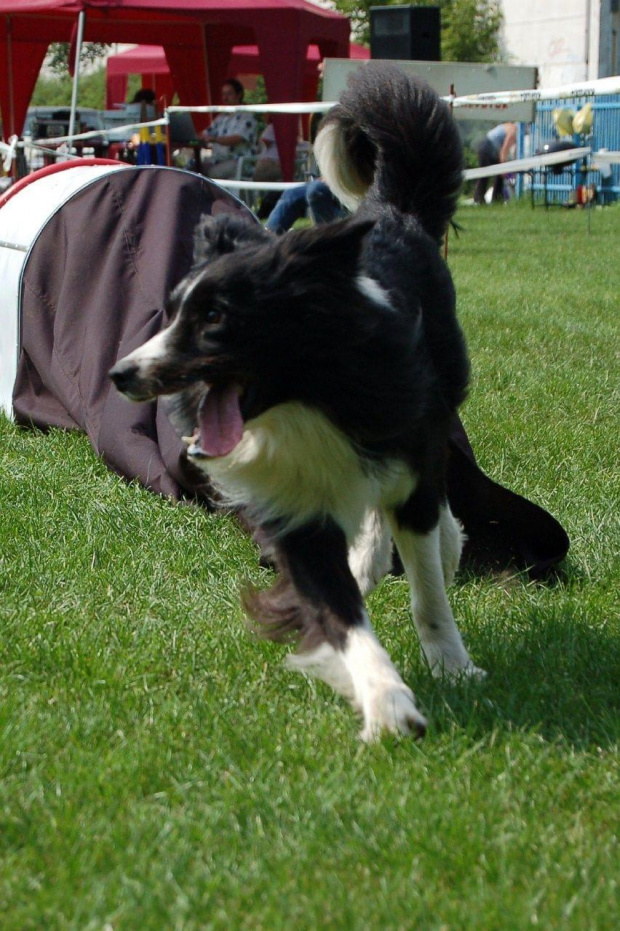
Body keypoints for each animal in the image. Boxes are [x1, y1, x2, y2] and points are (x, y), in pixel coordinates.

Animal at [111, 65, 484, 744]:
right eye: (170, 312)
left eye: (214, 319)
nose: (120, 374)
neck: (304, 403)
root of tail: (392, 211)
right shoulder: (294, 506)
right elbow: (341, 614)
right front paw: (386, 700)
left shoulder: (398, 431)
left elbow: (428, 593)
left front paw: (453, 666)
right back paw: (368, 562)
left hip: (437, 396)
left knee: (431, 494)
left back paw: (443, 543)